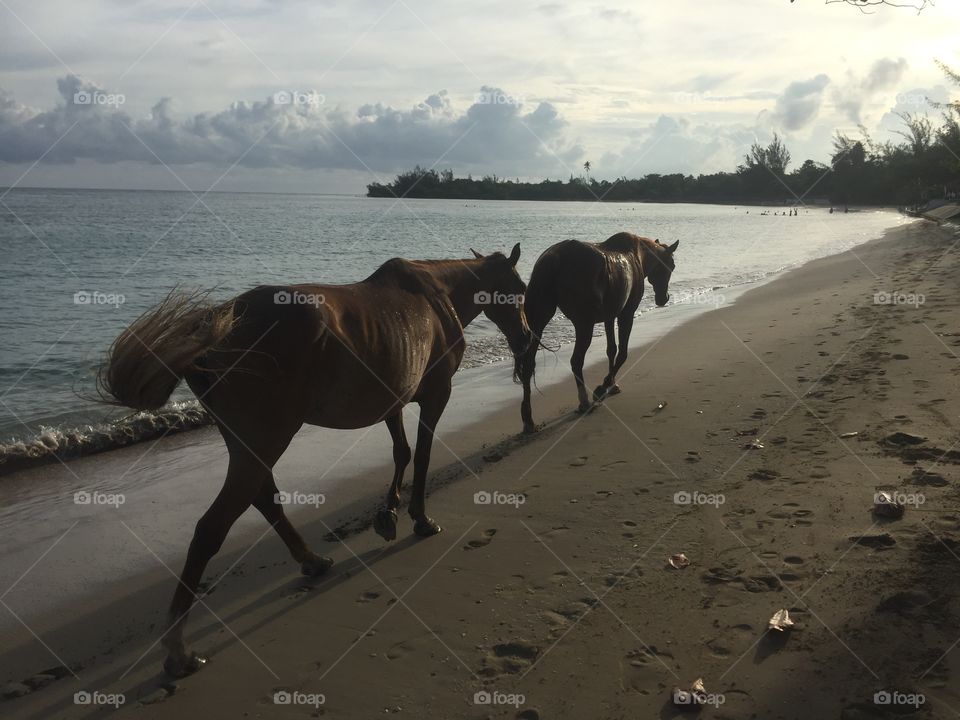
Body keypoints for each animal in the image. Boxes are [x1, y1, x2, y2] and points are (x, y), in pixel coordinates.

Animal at [98, 244, 531, 678]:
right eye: (520, 289)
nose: (527, 336)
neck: (435, 294)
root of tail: (216, 334)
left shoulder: (393, 397)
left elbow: (402, 452)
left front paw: (388, 514)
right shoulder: (436, 394)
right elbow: (421, 455)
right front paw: (420, 519)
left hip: (248, 443)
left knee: (263, 498)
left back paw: (311, 560)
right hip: (267, 438)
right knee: (213, 526)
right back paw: (178, 649)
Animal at [518, 233, 678, 433]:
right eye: (671, 265)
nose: (664, 298)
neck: (637, 255)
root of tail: (555, 259)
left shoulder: (610, 316)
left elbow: (611, 350)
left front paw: (613, 384)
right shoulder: (626, 314)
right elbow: (623, 353)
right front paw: (603, 387)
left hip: (538, 324)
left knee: (528, 365)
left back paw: (528, 419)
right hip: (584, 325)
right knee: (576, 361)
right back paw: (584, 402)